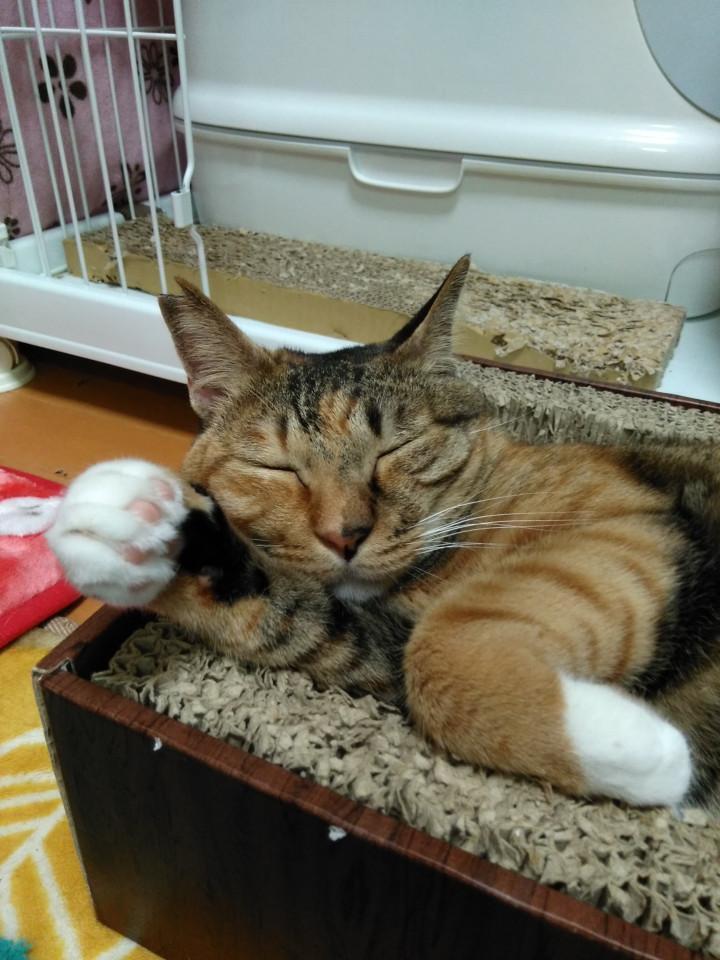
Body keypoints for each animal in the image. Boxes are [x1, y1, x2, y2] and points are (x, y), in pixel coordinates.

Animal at [47, 256, 720, 811]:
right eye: (278, 468)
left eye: (394, 448)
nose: (345, 534)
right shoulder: (375, 641)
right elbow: (293, 616)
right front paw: (145, 525)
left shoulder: (627, 522)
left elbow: (441, 654)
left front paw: (649, 753)